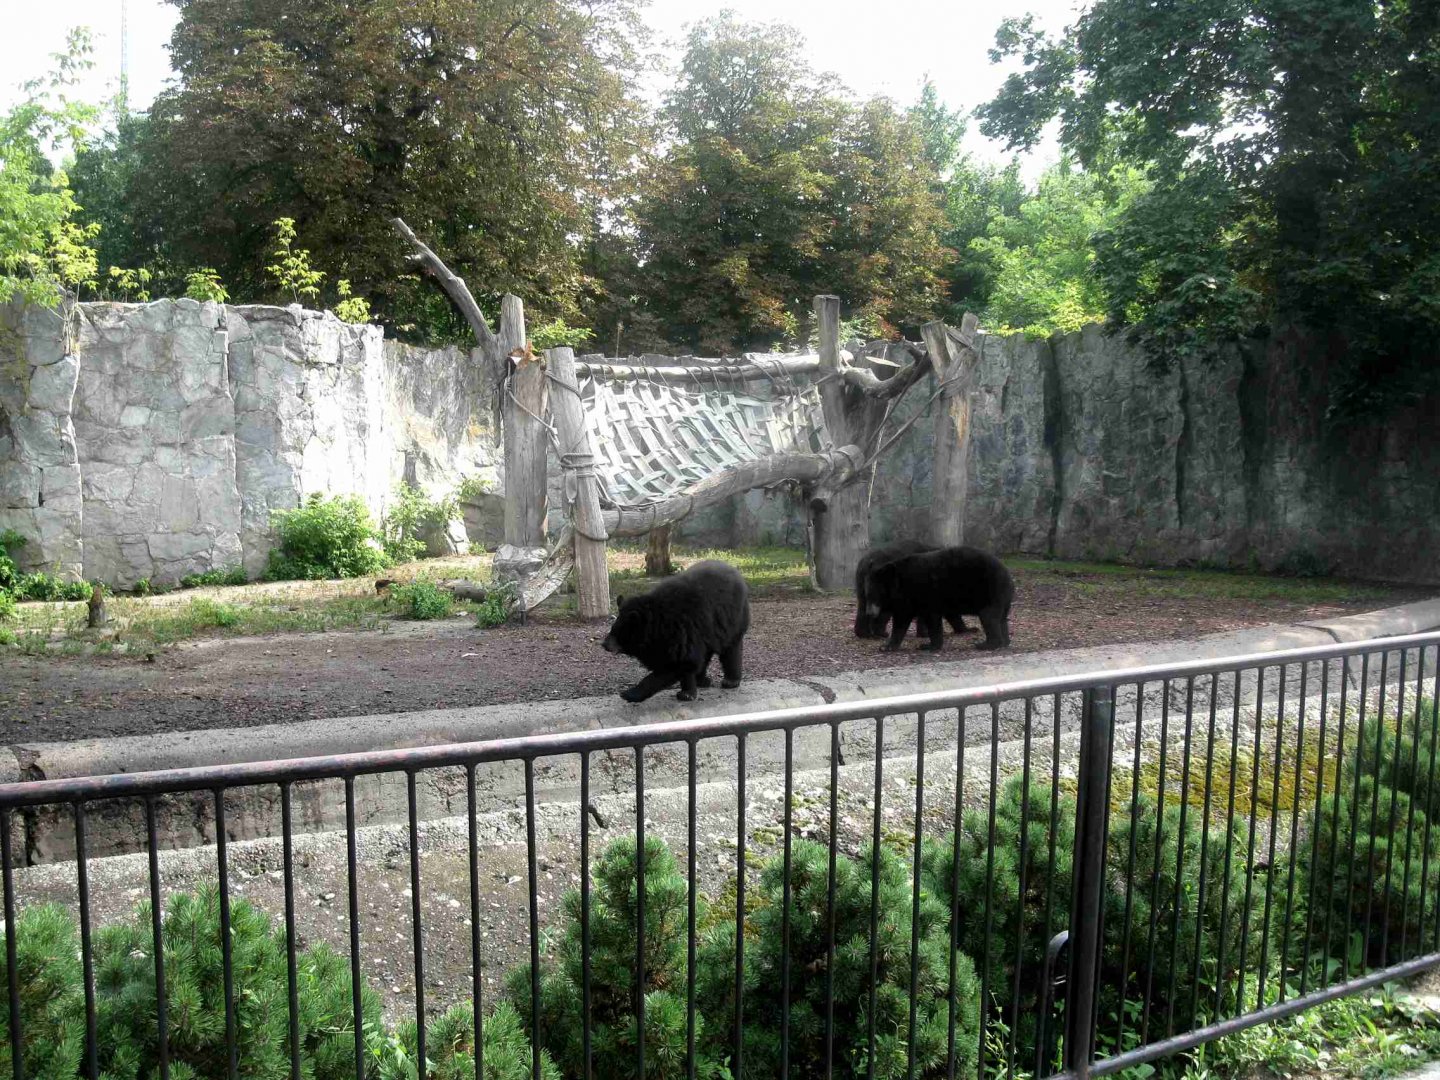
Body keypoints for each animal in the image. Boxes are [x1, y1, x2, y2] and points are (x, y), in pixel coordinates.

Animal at [602, 559, 750, 702]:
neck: (658, 625)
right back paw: (702, 680)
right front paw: (687, 692)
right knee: (707, 653)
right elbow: (686, 663)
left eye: (620, 632)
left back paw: (730, 681)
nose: (604, 644)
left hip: (734, 619)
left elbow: (677, 664)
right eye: (612, 628)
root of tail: (734, 570)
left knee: (731, 649)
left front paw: (629, 694)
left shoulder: (682, 631)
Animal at [863, 545, 1013, 652]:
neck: (900, 584)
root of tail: (1006, 571)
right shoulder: (911, 600)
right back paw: (1005, 641)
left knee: (988, 616)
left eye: (873, 595)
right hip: (1002, 596)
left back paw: (986, 644)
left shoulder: (923, 593)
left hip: (989, 591)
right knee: (1001, 619)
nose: (869, 613)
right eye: (867, 594)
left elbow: (916, 619)